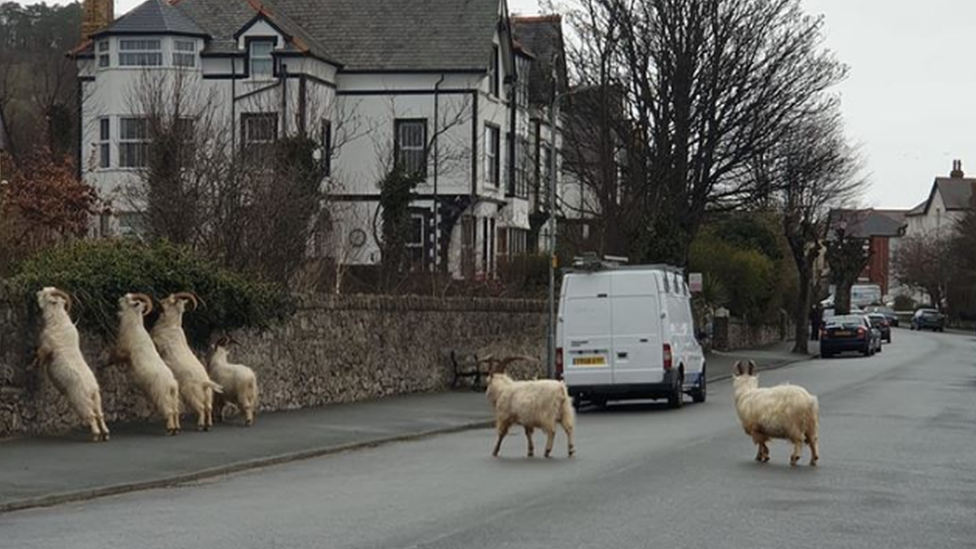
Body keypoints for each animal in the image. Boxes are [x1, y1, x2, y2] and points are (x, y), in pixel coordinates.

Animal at [31, 286, 110, 440]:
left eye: (47, 294)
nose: (37, 293)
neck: (58, 320)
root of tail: (91, 389)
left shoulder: (46, 346)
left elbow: (41, 355)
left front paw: (32, 365)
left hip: (79, 400)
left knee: (91, 416)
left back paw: (96, 435)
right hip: (96, 399)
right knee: (100, 414)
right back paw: (106, 433)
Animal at [114, 294, 183, 434]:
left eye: (128, 300)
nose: (118, 300)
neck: (134, 324)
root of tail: (172, 384)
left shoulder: (123, 349)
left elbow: (114, 358)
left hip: (161, 395)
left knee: (169, 411)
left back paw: (170, 429)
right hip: (173, 397)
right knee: (175, 411)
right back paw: (176, 428)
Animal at [151, 294, 221, 430]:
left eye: (170, 300)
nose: (159, 301)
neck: (171, 326)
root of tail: (205, 383)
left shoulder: (158, 341)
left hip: (191, 392)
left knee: (201, 408)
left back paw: (200, 425)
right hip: (208, 395)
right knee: (208, 407)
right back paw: (208, 425)